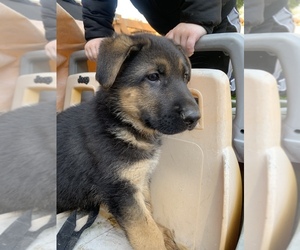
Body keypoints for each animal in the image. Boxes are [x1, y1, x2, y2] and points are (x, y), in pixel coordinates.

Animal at [57, 33, 200, 250]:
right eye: (153, 76)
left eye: (185, 77)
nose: (195, 117)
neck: (122, 123)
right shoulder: (121, 190)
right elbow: (148, 233)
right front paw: (159, 238)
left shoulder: (138, 180)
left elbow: (149, 212)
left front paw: (165, 234)